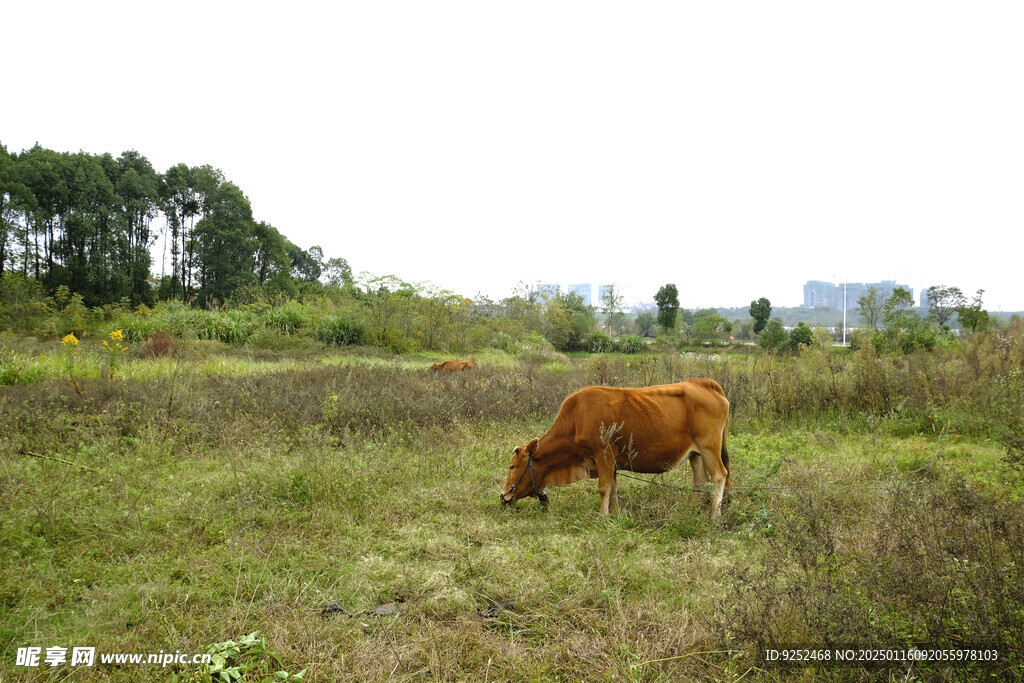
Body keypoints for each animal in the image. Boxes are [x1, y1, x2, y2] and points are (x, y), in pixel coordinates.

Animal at [501, 376, 729, 516]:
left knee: (719, 475)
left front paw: (602, 516)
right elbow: (613, 488)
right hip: (695, 453)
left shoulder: (603, 455)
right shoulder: (612, 463)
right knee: (699, 479)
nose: (504, 495)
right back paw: (691, 508)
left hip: (709, 447)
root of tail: (704, 383)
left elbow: (604, 488)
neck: (576, 418)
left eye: (512, 466)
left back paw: (714, 515)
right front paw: (615, 513)